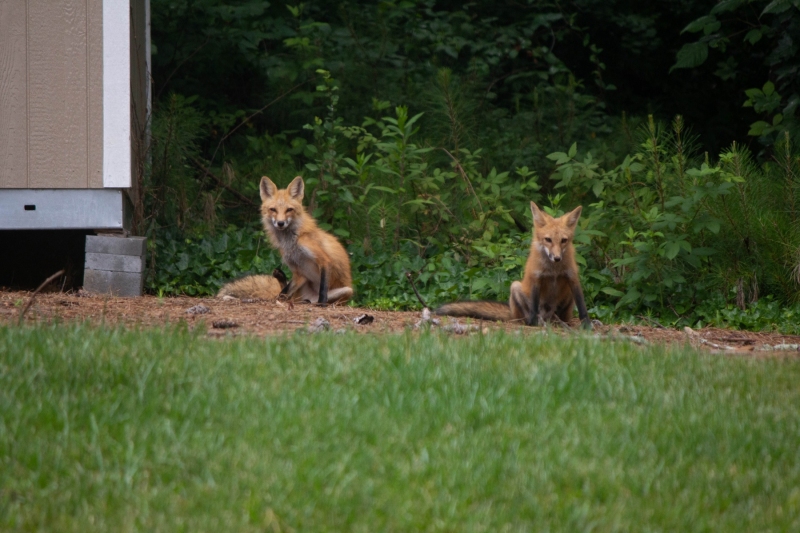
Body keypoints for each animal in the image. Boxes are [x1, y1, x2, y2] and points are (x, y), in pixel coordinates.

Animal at [257, 175, 354, 304]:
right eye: (273, 209)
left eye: (289, 210)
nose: (280, 223)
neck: (292, 241)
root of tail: (310, 297)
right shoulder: (297, 270)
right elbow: (284, 292)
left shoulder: (323, 260)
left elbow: (323, 288)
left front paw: (322, 304)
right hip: (302, 282)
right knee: (288, 294)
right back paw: (281, 277)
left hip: (346, 291)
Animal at [436, 202, 592, 329]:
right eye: (548, 240)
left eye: (564, 240)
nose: (557, 258)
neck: (553, 269)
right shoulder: (536, 277)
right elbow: (534, 305)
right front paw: (533, 323)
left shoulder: (572, 277)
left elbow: (582, 305)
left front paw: (587, 324)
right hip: (515, 286)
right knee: (529, 315)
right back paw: (533, 321)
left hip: (565, 299)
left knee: (561, 318)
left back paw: (561, 323)